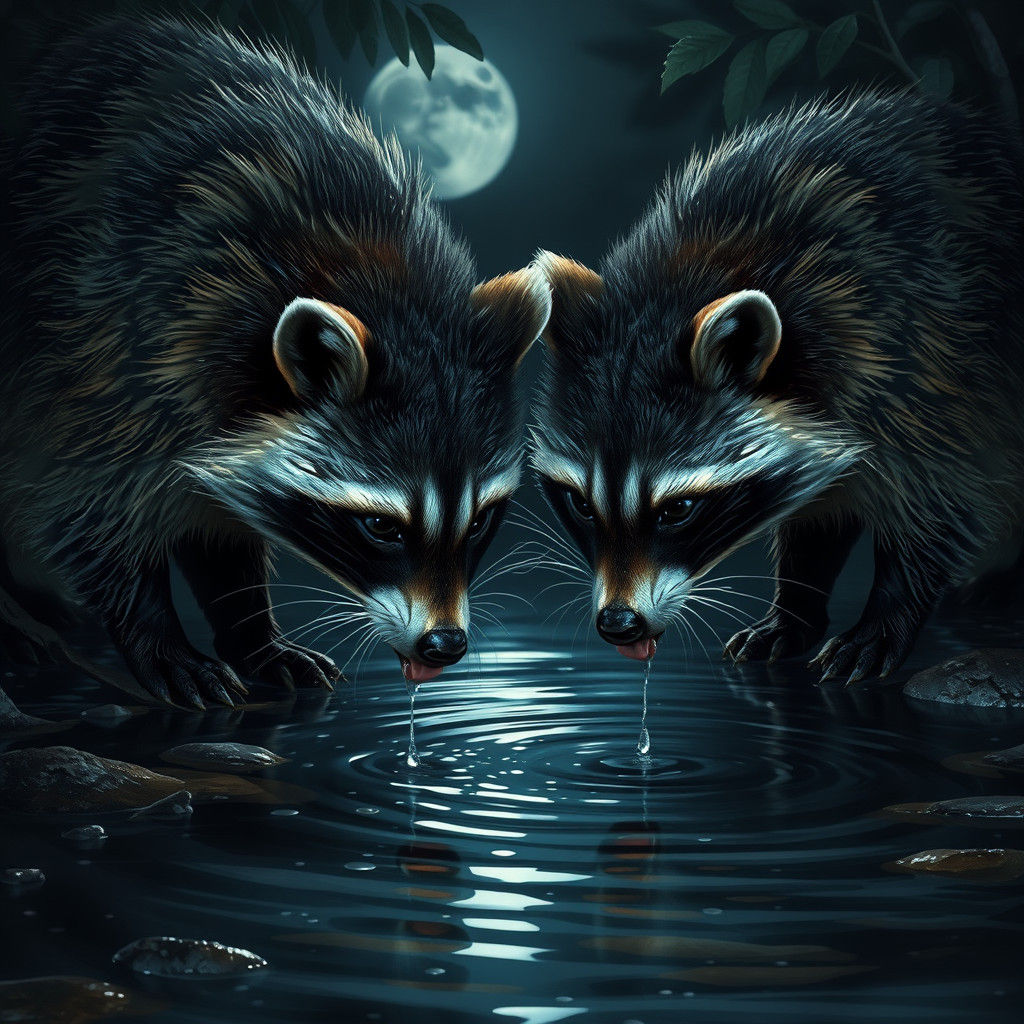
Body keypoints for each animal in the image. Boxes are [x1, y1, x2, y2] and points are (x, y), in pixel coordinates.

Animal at [0, 19, 549, 707]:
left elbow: (214, 524)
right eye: (380, 525)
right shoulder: (103, 330)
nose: (444, 645)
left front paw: (252, 632)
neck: (358, 265)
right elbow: (85, 502)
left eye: (479, 521)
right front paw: (156, 633)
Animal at [532, 92, 1024, 683]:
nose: (619, 623)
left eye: (678, 509)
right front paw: (796, 605)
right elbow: (820, 509)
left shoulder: (927, 349)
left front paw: (888, 611)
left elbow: (941, 495)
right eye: (581, 504)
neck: (706, 265)